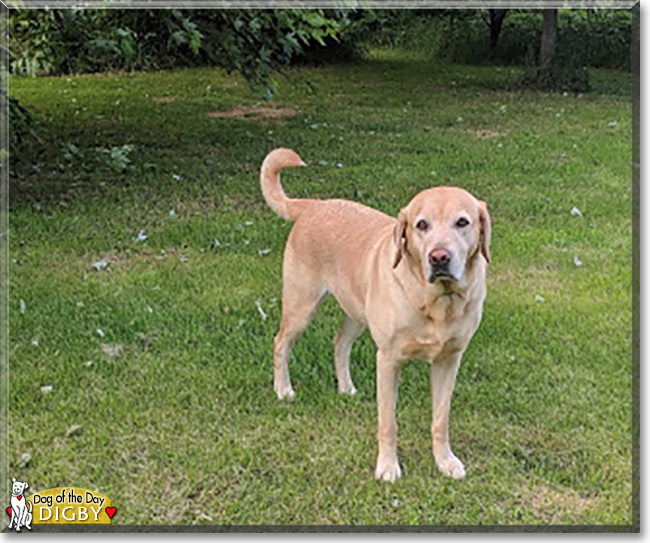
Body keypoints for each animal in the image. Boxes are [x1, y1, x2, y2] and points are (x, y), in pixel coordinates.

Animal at [256, 149, 486, 484]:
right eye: (421, 225)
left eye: (463, 222)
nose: (439, 258)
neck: (435, 302)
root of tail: (314, 205)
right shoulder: (388, 360)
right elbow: (388, 422)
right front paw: (388, 467)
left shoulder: (449, 361)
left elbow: (440, 420)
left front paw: (445, 461)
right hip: (302, 305)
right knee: (280, 342)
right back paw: (283, 390)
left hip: (356, 313)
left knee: (339, 343)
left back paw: (346, 387)